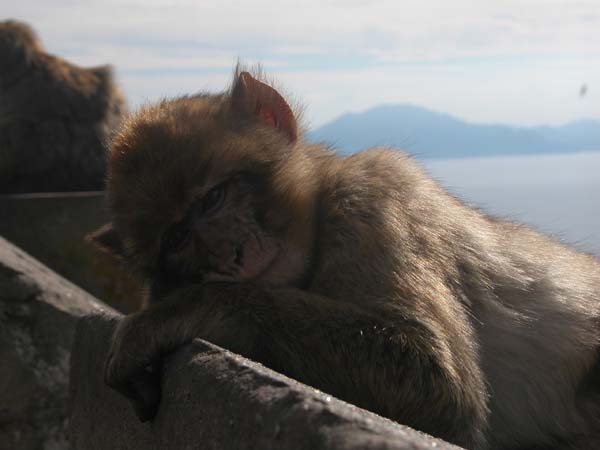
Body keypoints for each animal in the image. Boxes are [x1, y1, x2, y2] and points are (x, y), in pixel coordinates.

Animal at [90, 67, 600, 450]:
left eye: (213, 199)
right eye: (177, 238)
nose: (227, 258)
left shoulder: (373, 194)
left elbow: (437, 379)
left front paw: (174, 313)